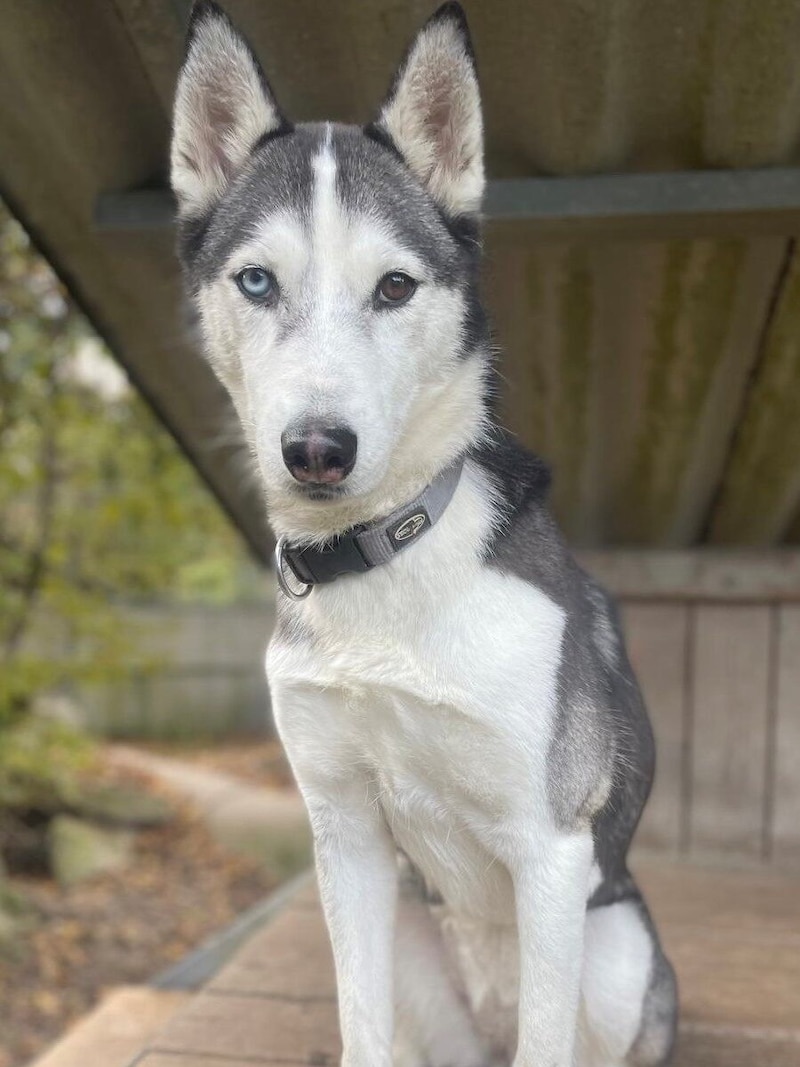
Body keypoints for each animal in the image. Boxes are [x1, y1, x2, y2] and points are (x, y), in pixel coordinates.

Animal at [170, 4, 678, 1062]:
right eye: (256, 281)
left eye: (395, 288)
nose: (316, 450)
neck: (385, 560)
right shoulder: (346, 835)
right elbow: (358, 1027)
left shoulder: (552, 847)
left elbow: (546, 1042)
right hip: (412, 932)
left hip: (613, 949)